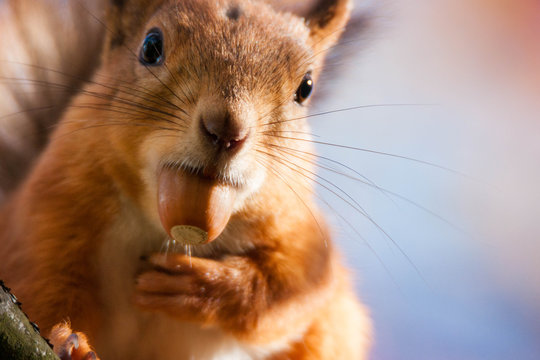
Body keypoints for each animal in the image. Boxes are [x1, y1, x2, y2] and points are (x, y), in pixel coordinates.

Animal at [0, 0, 372, 358]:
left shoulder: (305, 239)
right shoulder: (53, 208)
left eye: (305, 88)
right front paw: (68, 343)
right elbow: (44, 288)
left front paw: (201, 284)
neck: (164, 227)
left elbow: (287, 292)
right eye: (151, 47)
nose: (227, 130)